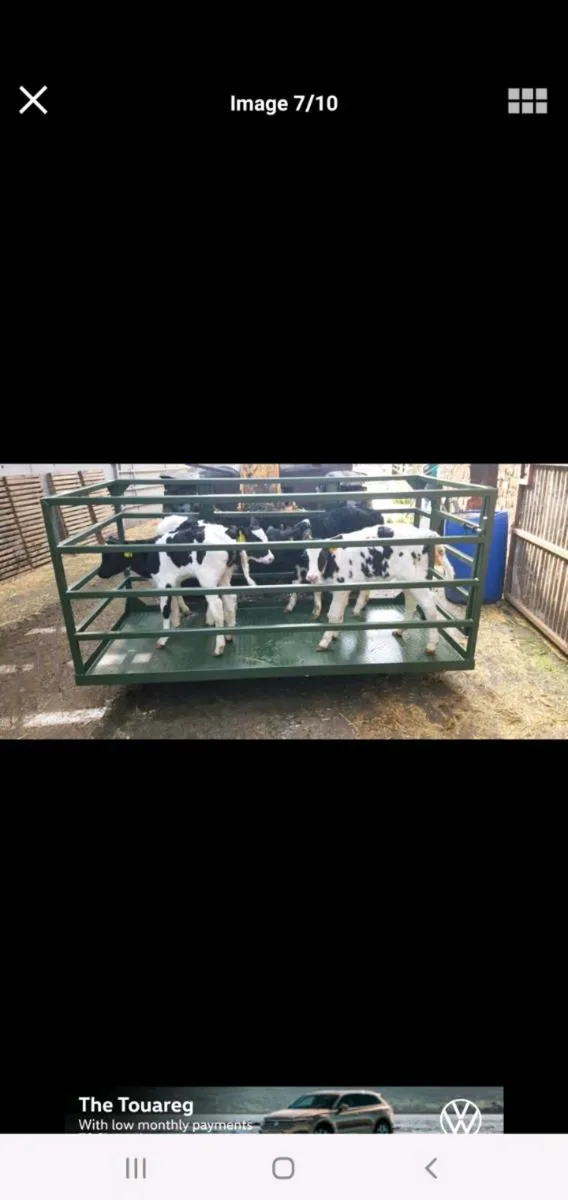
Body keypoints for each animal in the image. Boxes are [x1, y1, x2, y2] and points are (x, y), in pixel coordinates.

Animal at [299, 528, 453, 657]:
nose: (311, 577)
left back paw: (431, 645)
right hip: (408, 580)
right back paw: (400, 630)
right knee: (410, 602)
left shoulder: (341, 586)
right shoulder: (343, 590)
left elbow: (333, 614)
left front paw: (324, 641)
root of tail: (425, 532)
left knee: (429, 606)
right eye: (305, 557)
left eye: (322, 557)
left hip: (417, 579)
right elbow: (340, 611)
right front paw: (334, 634)